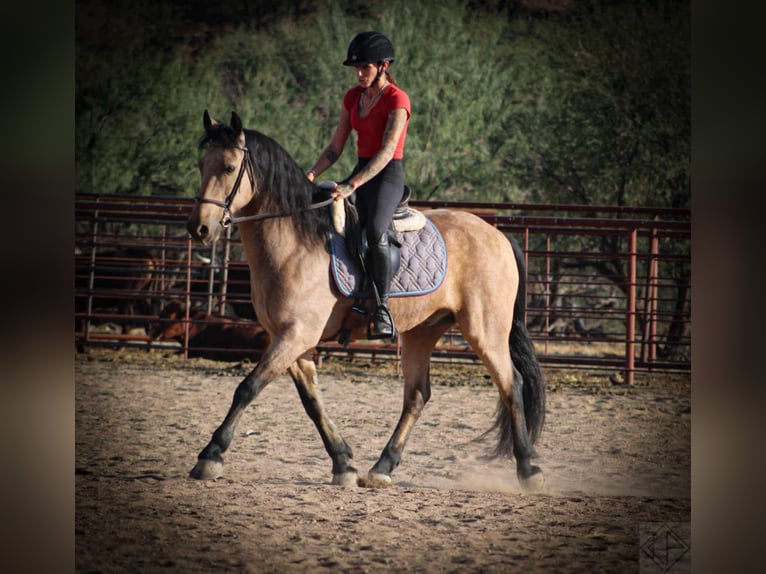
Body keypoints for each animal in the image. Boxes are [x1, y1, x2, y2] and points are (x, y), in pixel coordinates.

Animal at [185, 110, 544, 492]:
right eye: (201, 164)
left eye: (228, 167)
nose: (199, 229)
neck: (296, 241)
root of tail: (497, 235)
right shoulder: (290, 338)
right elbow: (311, 401)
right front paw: (343, 462)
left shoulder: (297, 333)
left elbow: (247, 387)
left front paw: (210, 455)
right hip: (422, 332)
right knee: (417, 395)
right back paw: (382, 466)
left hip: (484, 331)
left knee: (511, 385)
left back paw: (529, 469)